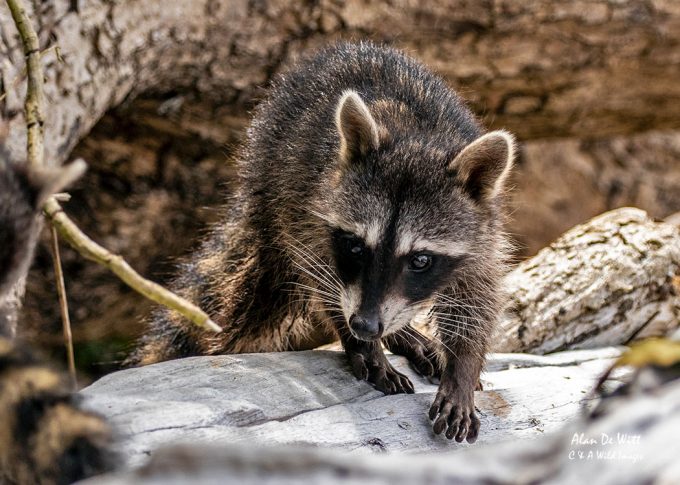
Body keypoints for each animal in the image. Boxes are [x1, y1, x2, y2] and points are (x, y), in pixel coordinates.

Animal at [134, 42, 514, 443]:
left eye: (420, 260)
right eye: (356, 246)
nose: (365, 326)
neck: (416, 140)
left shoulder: (483, 234)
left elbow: (477, 299)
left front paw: (462, 369)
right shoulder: (309, 209)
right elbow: (322, 278)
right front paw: (363, 346)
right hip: (273, 179)